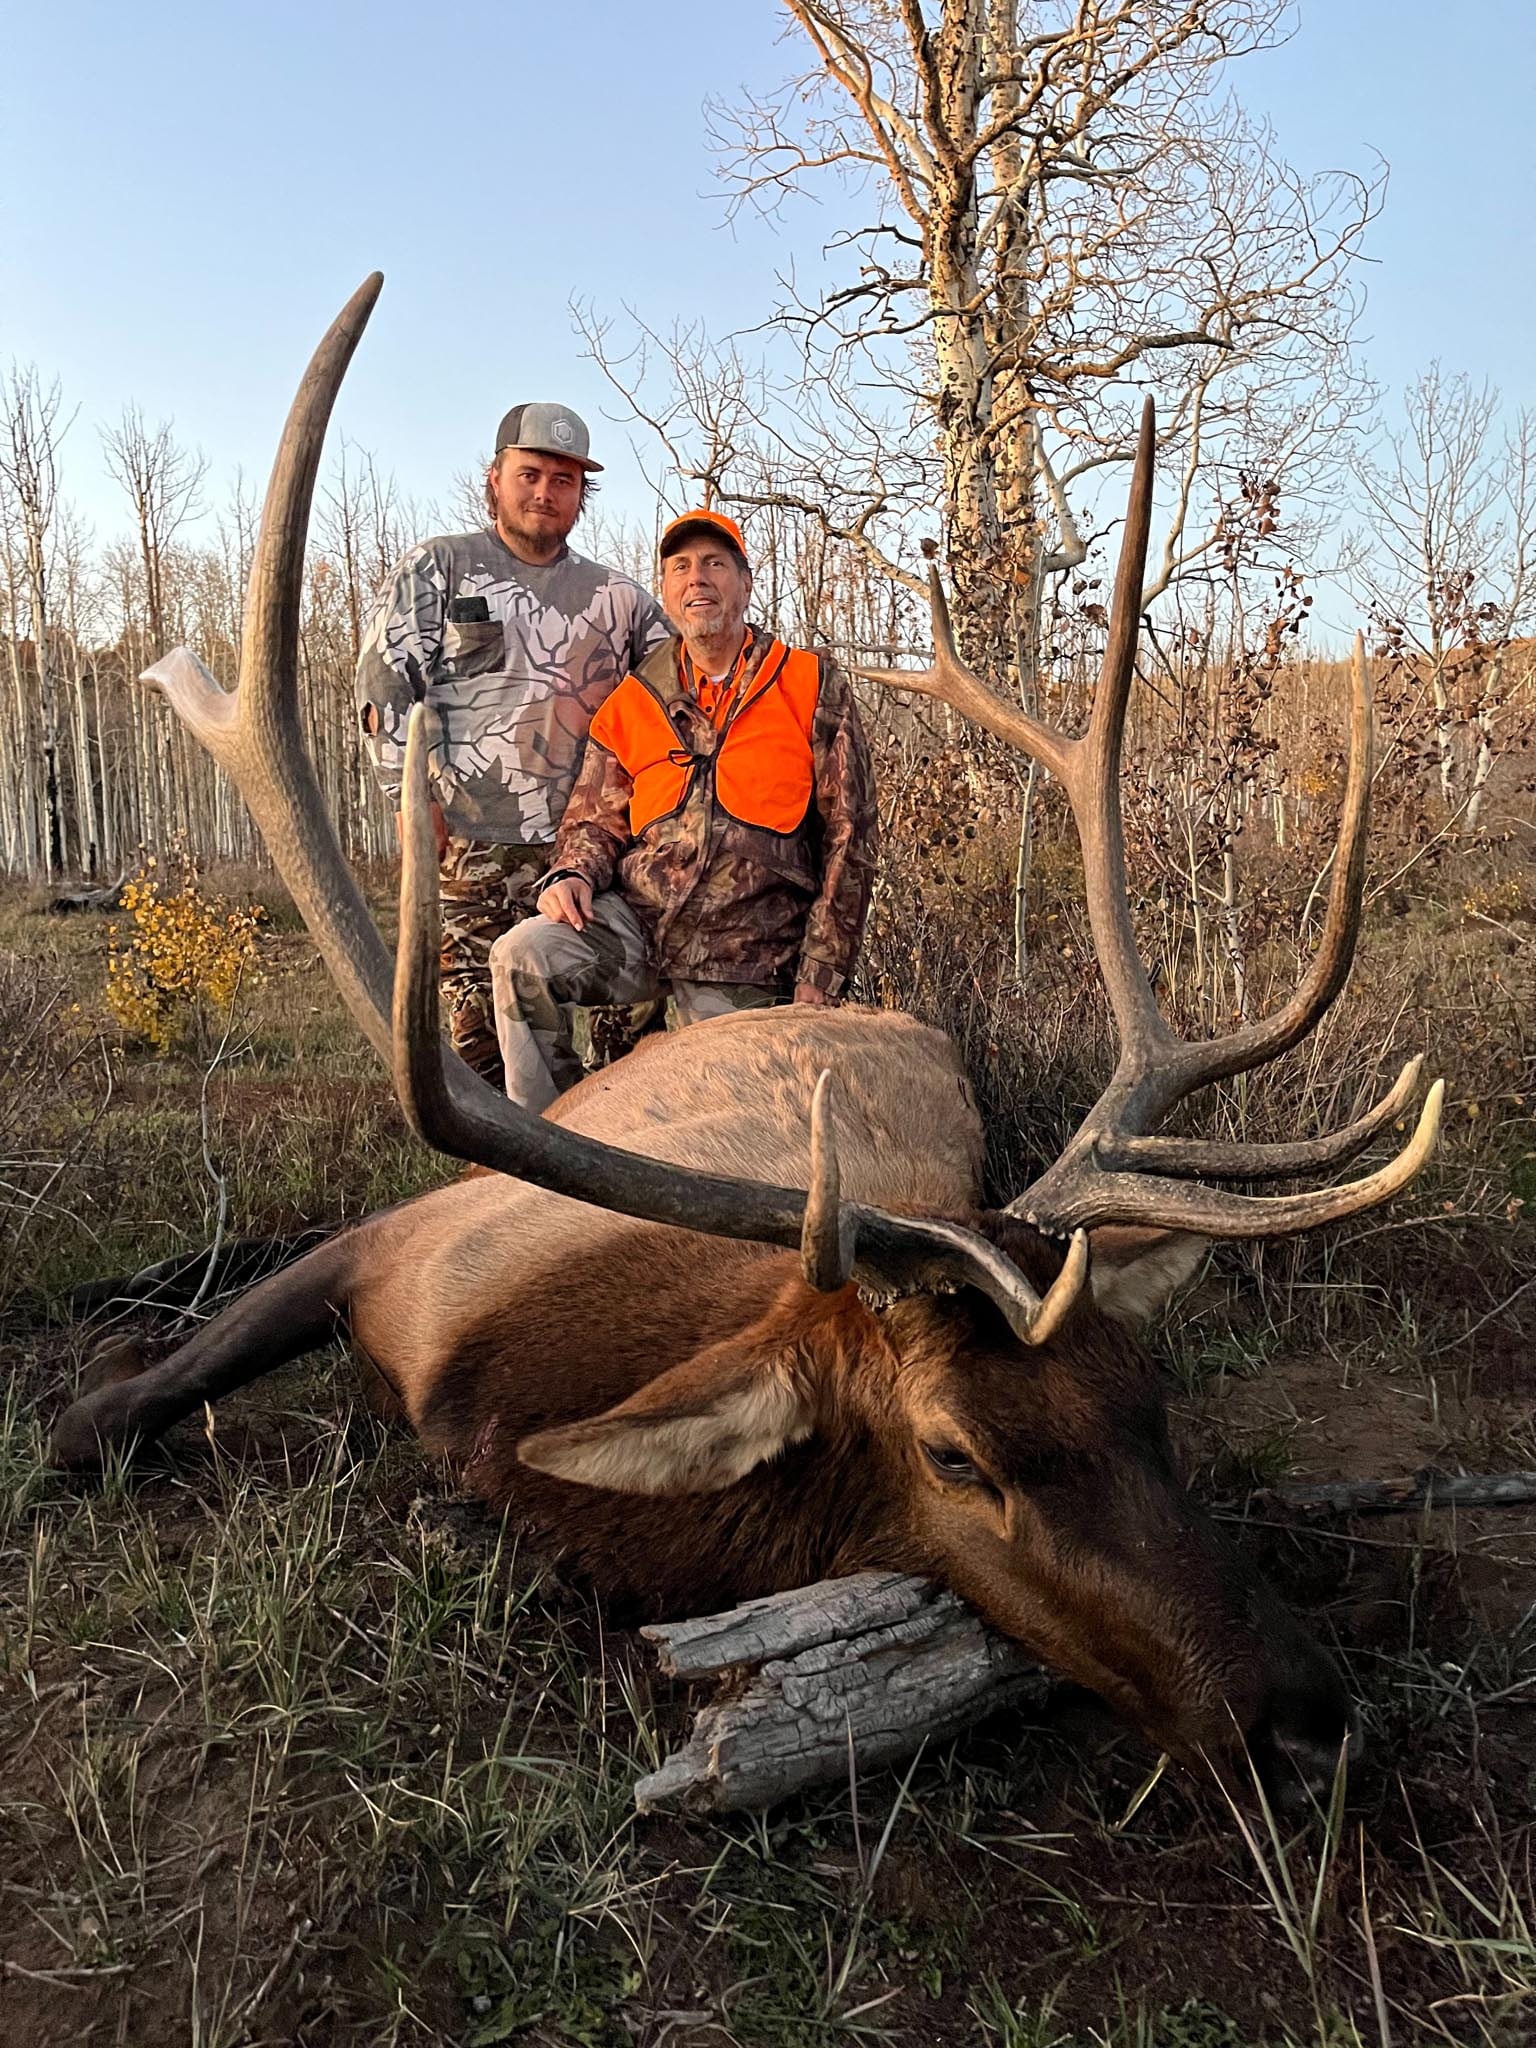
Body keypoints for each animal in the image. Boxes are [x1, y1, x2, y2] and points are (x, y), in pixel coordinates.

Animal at [49, 275, 1442, 1805]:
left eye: (1151, 1401)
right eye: (957, 1457)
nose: (1310, 1718)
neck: (512, 1396)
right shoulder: (406, 1250)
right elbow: (102, 1412)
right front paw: (93, 1377)